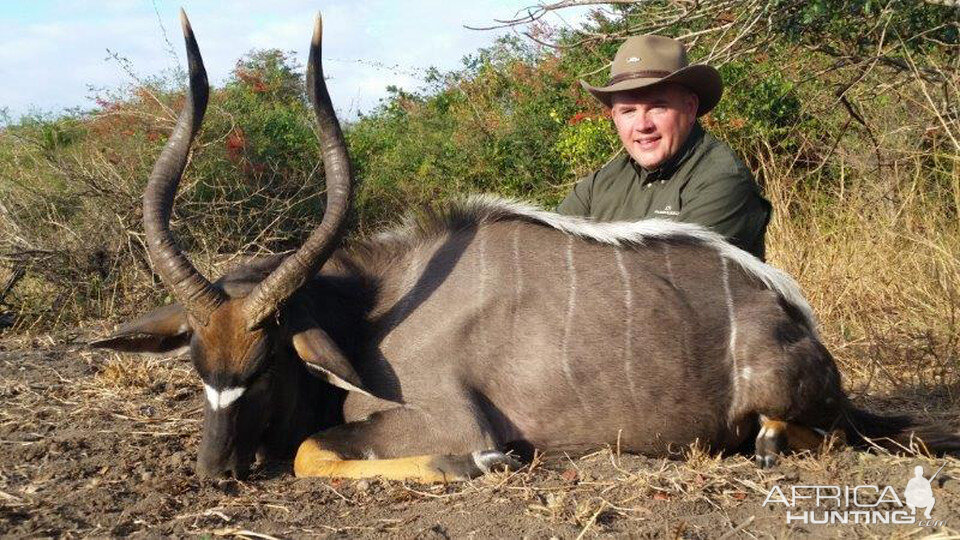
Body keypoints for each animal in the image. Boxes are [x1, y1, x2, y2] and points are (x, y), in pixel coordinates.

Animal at [94, 11, 956, 480]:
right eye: (195, 364)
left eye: (268, 359)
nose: (216, 471)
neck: (372, 311)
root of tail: (791, 315)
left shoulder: (440, 417)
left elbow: (315, 451)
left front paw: (486, 463)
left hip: (788, 403)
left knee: (810, 436)